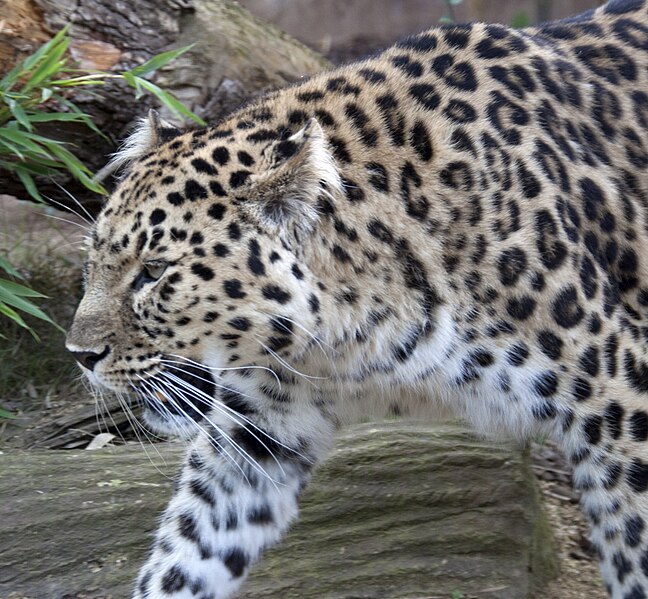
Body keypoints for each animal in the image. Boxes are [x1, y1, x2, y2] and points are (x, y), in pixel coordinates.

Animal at [67, 2, 648, 596]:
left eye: (154, 272)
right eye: (93, 261)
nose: (80, 356)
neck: (352, 341)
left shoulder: (617, 403)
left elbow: (633, 545)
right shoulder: (258, 432)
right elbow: (185, 552)